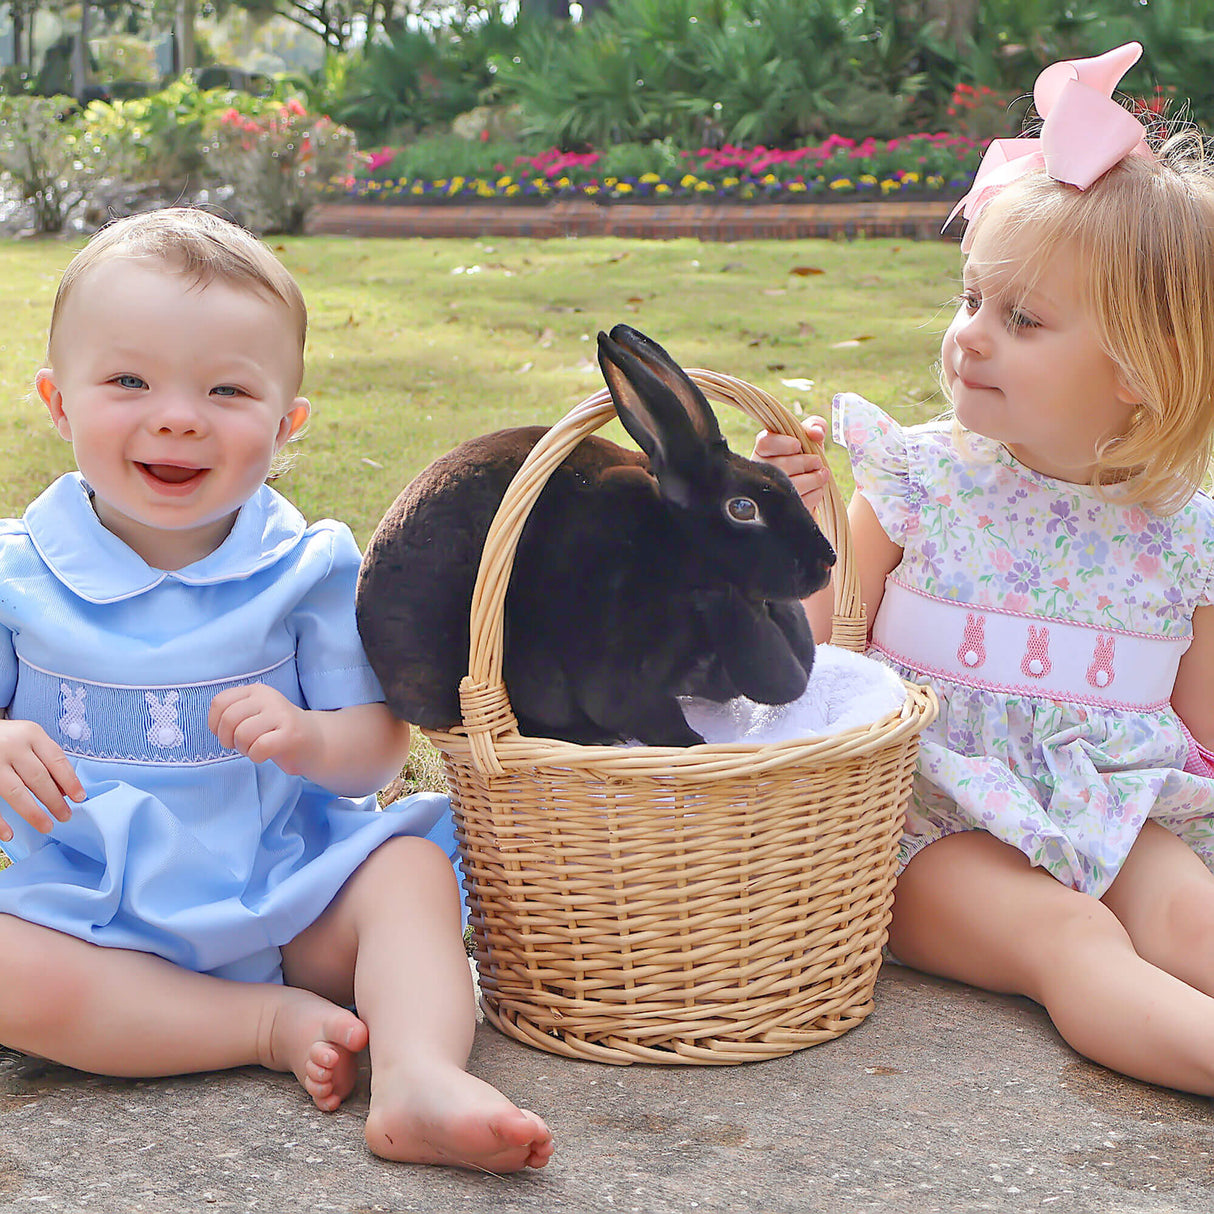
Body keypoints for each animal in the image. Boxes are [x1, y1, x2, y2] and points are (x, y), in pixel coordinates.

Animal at [354, 322, 840, 742]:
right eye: (743, 508)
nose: (827, 560)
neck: (675, 545)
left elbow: (786, 681)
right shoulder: (616, 666)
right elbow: (652, 717)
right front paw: (691, 746)